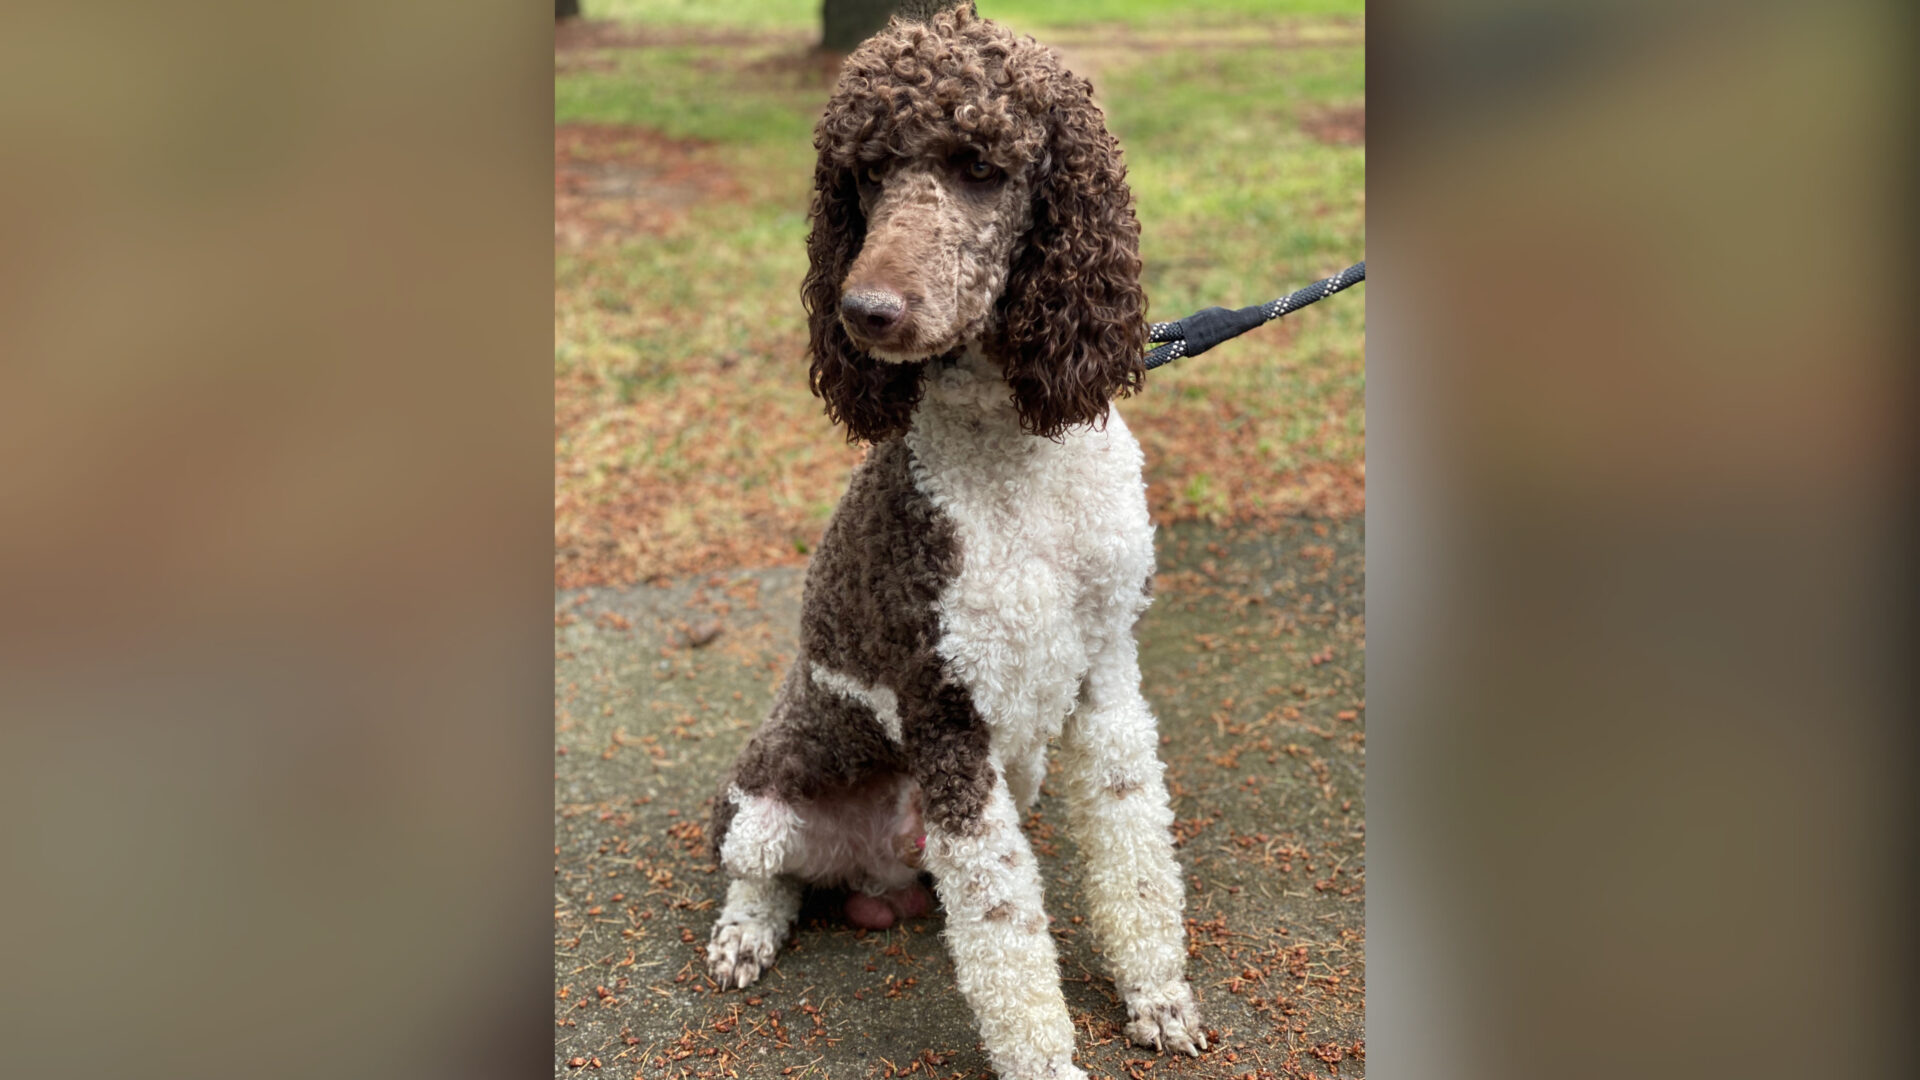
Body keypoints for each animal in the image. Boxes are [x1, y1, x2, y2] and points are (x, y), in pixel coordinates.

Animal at [706, 6, 1205, 1068]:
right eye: (863, 175)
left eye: (980, 165)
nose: (864, 312)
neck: (1013, 453)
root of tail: (877, 871)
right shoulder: (945, 715)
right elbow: (1006, 927)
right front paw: (1046, 1060)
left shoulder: (1107, 674)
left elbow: (1135, 843)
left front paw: (1157, 994)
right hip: (766, 797)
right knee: (759, 868)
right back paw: (745, 934)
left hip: (1023, 768)